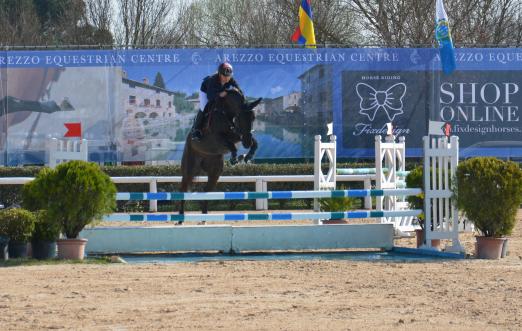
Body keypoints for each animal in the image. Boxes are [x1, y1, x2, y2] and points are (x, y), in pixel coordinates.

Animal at [179, 88, 260, 219]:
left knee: (206, 190)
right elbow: (231, 145)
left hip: (215, 172)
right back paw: (180, 218)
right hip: (189, 169)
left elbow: (255, 142)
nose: (246, 143)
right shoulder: (217, 139)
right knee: (183, 189)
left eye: (253, 118)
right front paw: (235, 159)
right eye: (240, 117)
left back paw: (204, 218)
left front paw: (247, 156)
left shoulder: (237, 135)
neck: (226, 113)